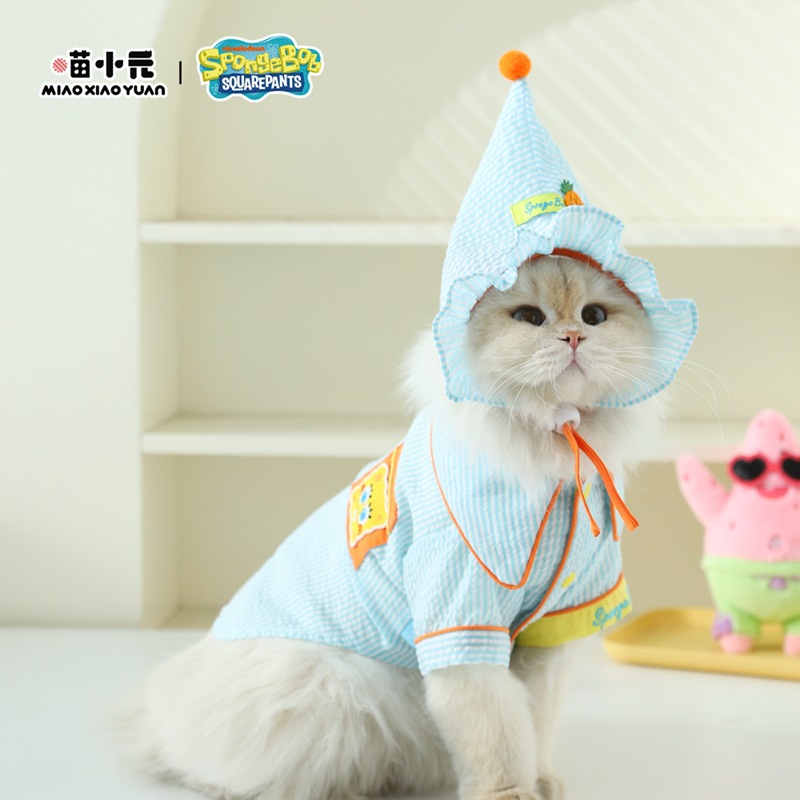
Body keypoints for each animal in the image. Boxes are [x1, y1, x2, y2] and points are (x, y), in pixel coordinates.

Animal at [115, 254, 659, 800]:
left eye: (593, 316)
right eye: (529, 318)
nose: (573, 337)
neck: (555, 443)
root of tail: (156, 715)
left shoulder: (550, 631)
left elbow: (536, 726)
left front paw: (543, 782)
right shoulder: (461, 624)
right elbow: (498, 738)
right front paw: (511, 794)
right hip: (333, 684)